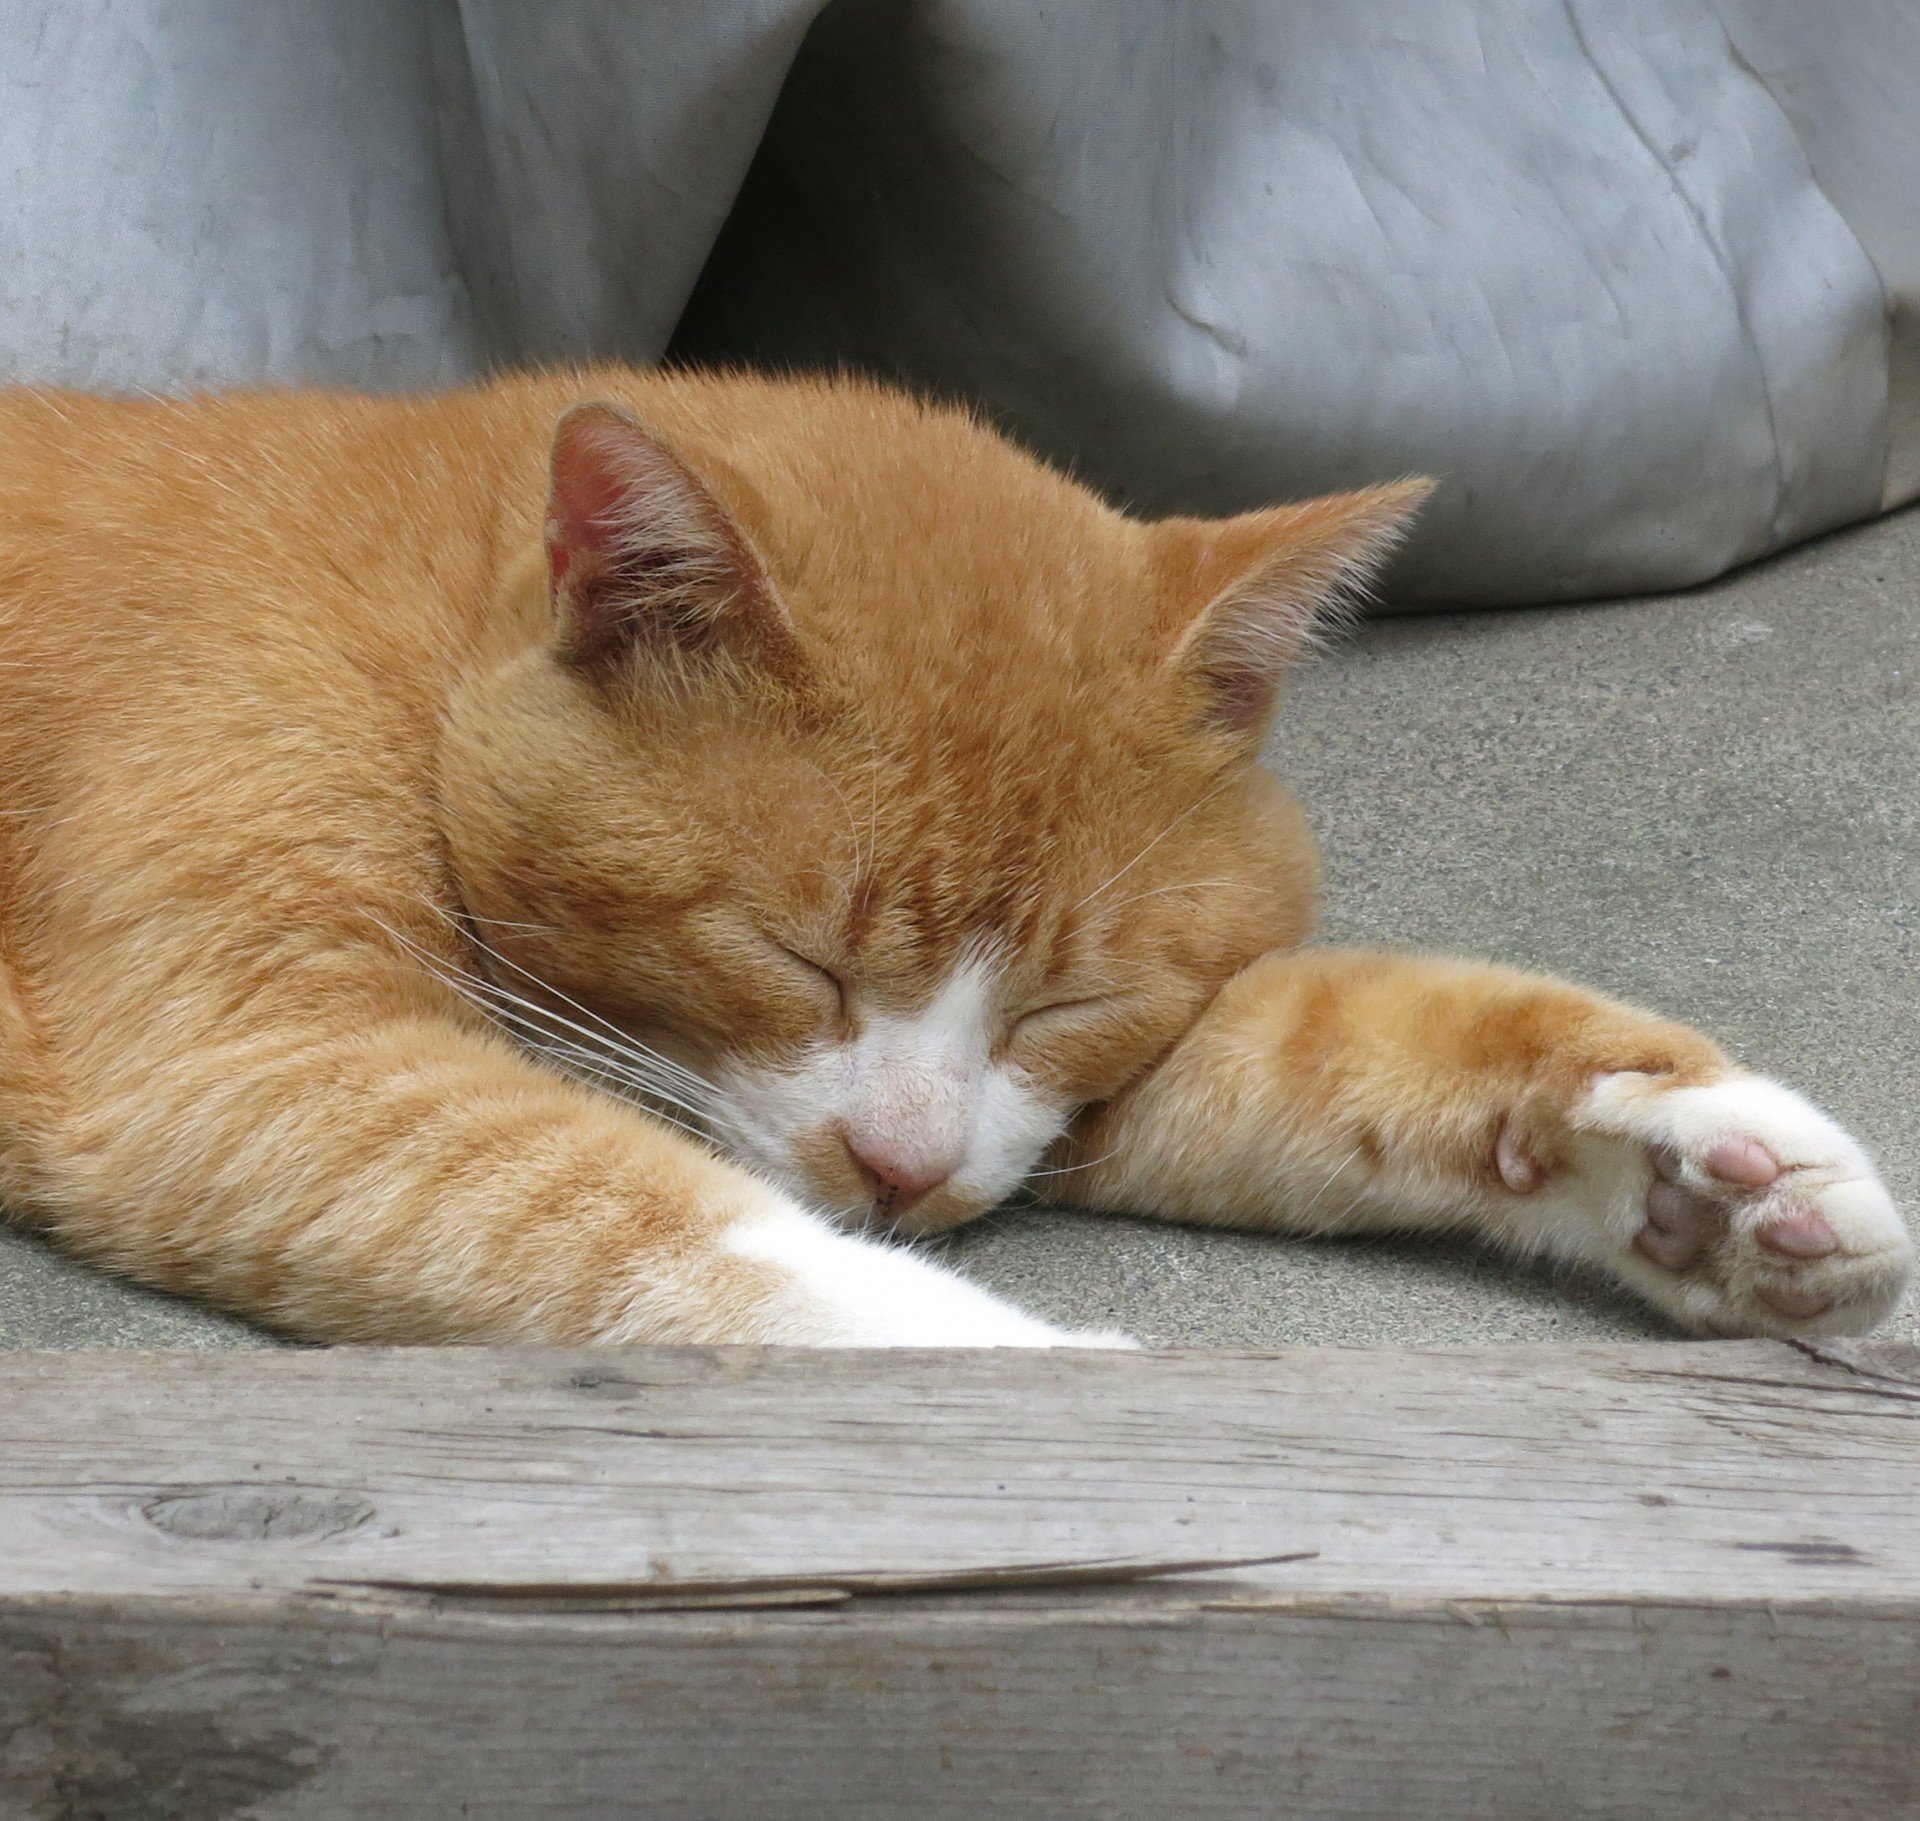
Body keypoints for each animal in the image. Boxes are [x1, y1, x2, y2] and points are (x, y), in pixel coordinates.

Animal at [0, 372, 1904, 1336]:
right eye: (795, 959)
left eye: (1061, 1003)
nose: (902, 1174)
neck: (421, 627)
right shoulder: (252, 1055)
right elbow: (702, 1241)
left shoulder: (1089, 1083)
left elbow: (1343, 1045)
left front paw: (1693, 1170)